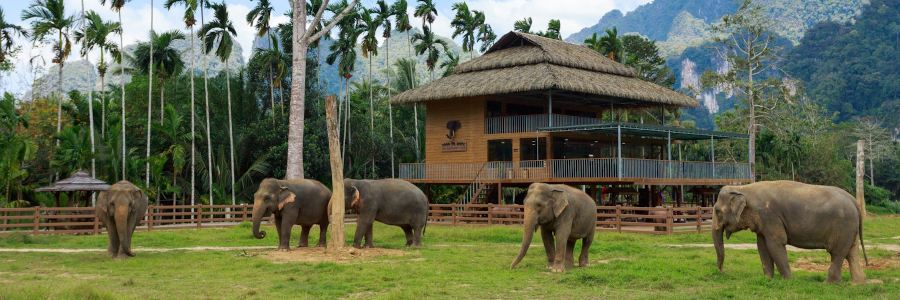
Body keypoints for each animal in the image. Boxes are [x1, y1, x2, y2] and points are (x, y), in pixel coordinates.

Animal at [712, 180, 868, 284]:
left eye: (717, 211)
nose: (722, 272)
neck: (743, 188)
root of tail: (854, 201)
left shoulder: (770, 216)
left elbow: (776, 243)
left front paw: (788, 281)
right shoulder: (763, 222)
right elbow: (762, 246)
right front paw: (768, 279)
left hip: (844, 226)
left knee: (837, 253)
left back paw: (829, 284)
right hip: (850, 228)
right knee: (852, 252)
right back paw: (857, 284)